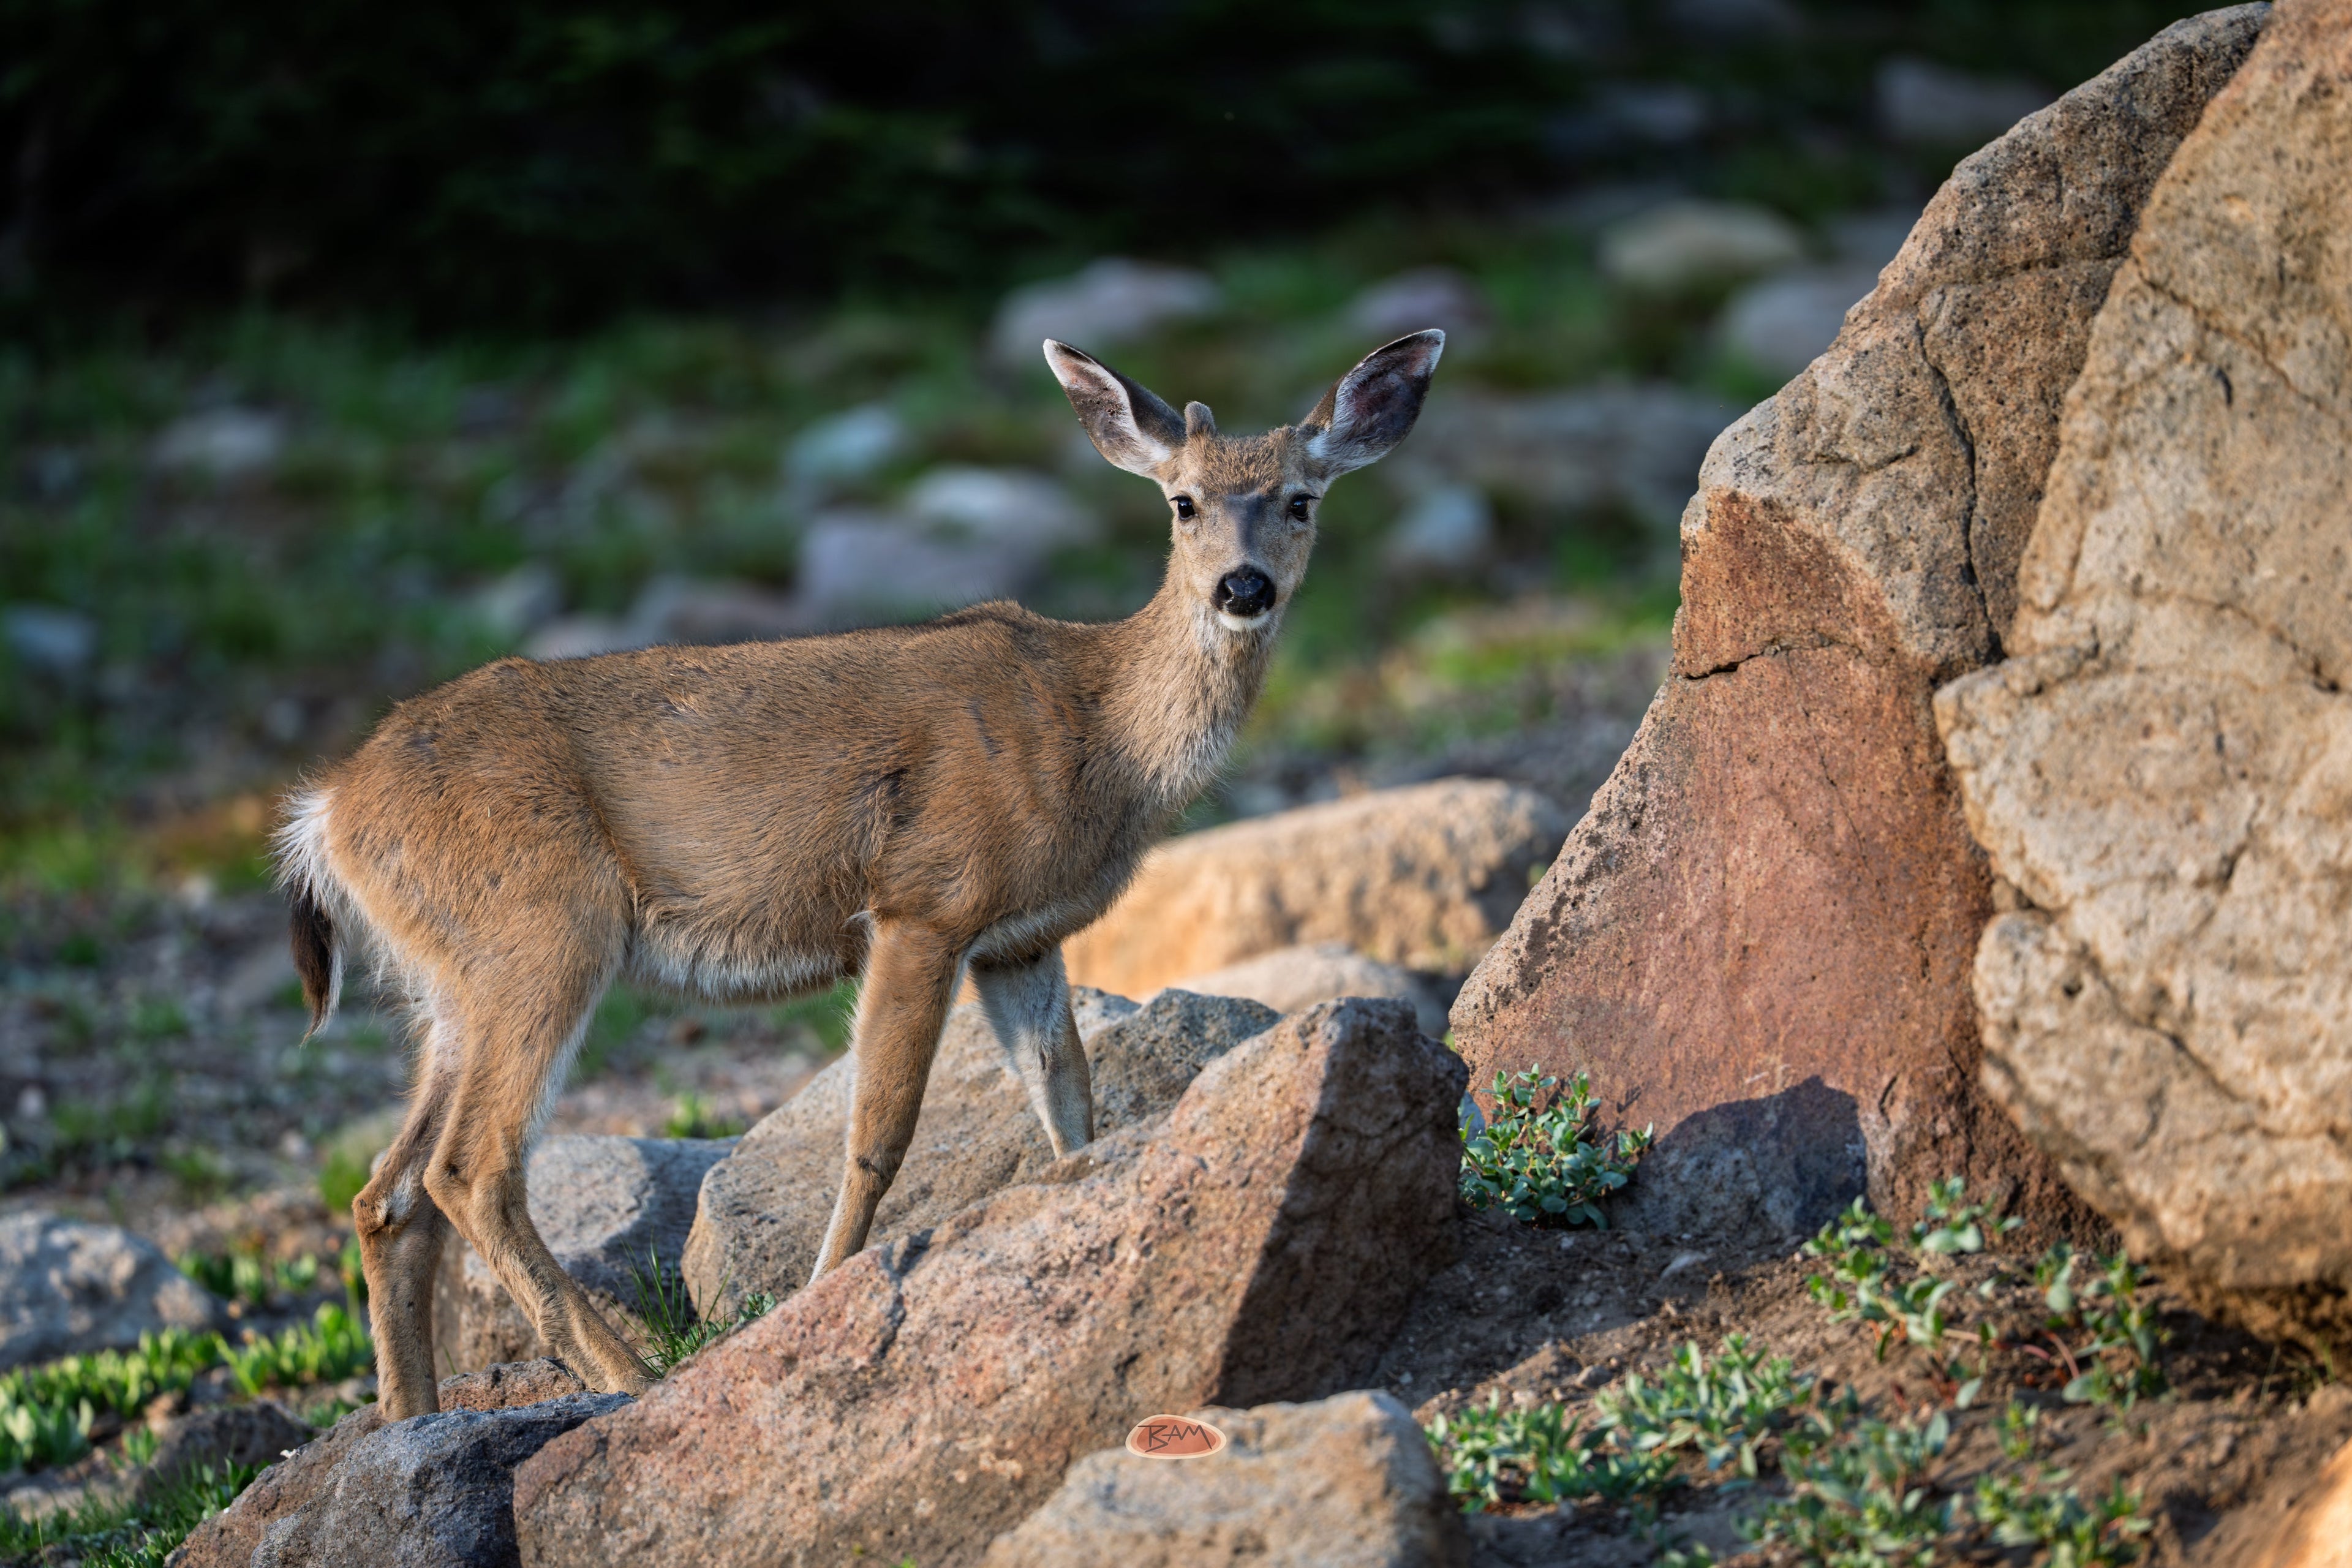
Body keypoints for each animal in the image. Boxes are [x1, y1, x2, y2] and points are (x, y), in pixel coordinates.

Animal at [272, 329, 1444, 1420]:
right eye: (1184, 502)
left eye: (1300, 500)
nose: (1243, 588)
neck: (1102, 731)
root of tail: (325, 815)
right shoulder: (924, 899)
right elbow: (879, 1135)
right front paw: (827, 1302)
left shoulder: (1022, 938)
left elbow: (1069, 1100)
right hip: (543, 929)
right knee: (470, 1168)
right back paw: (635, 1377)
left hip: (451, 981)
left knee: (387, 1192)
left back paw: (409, 1419)